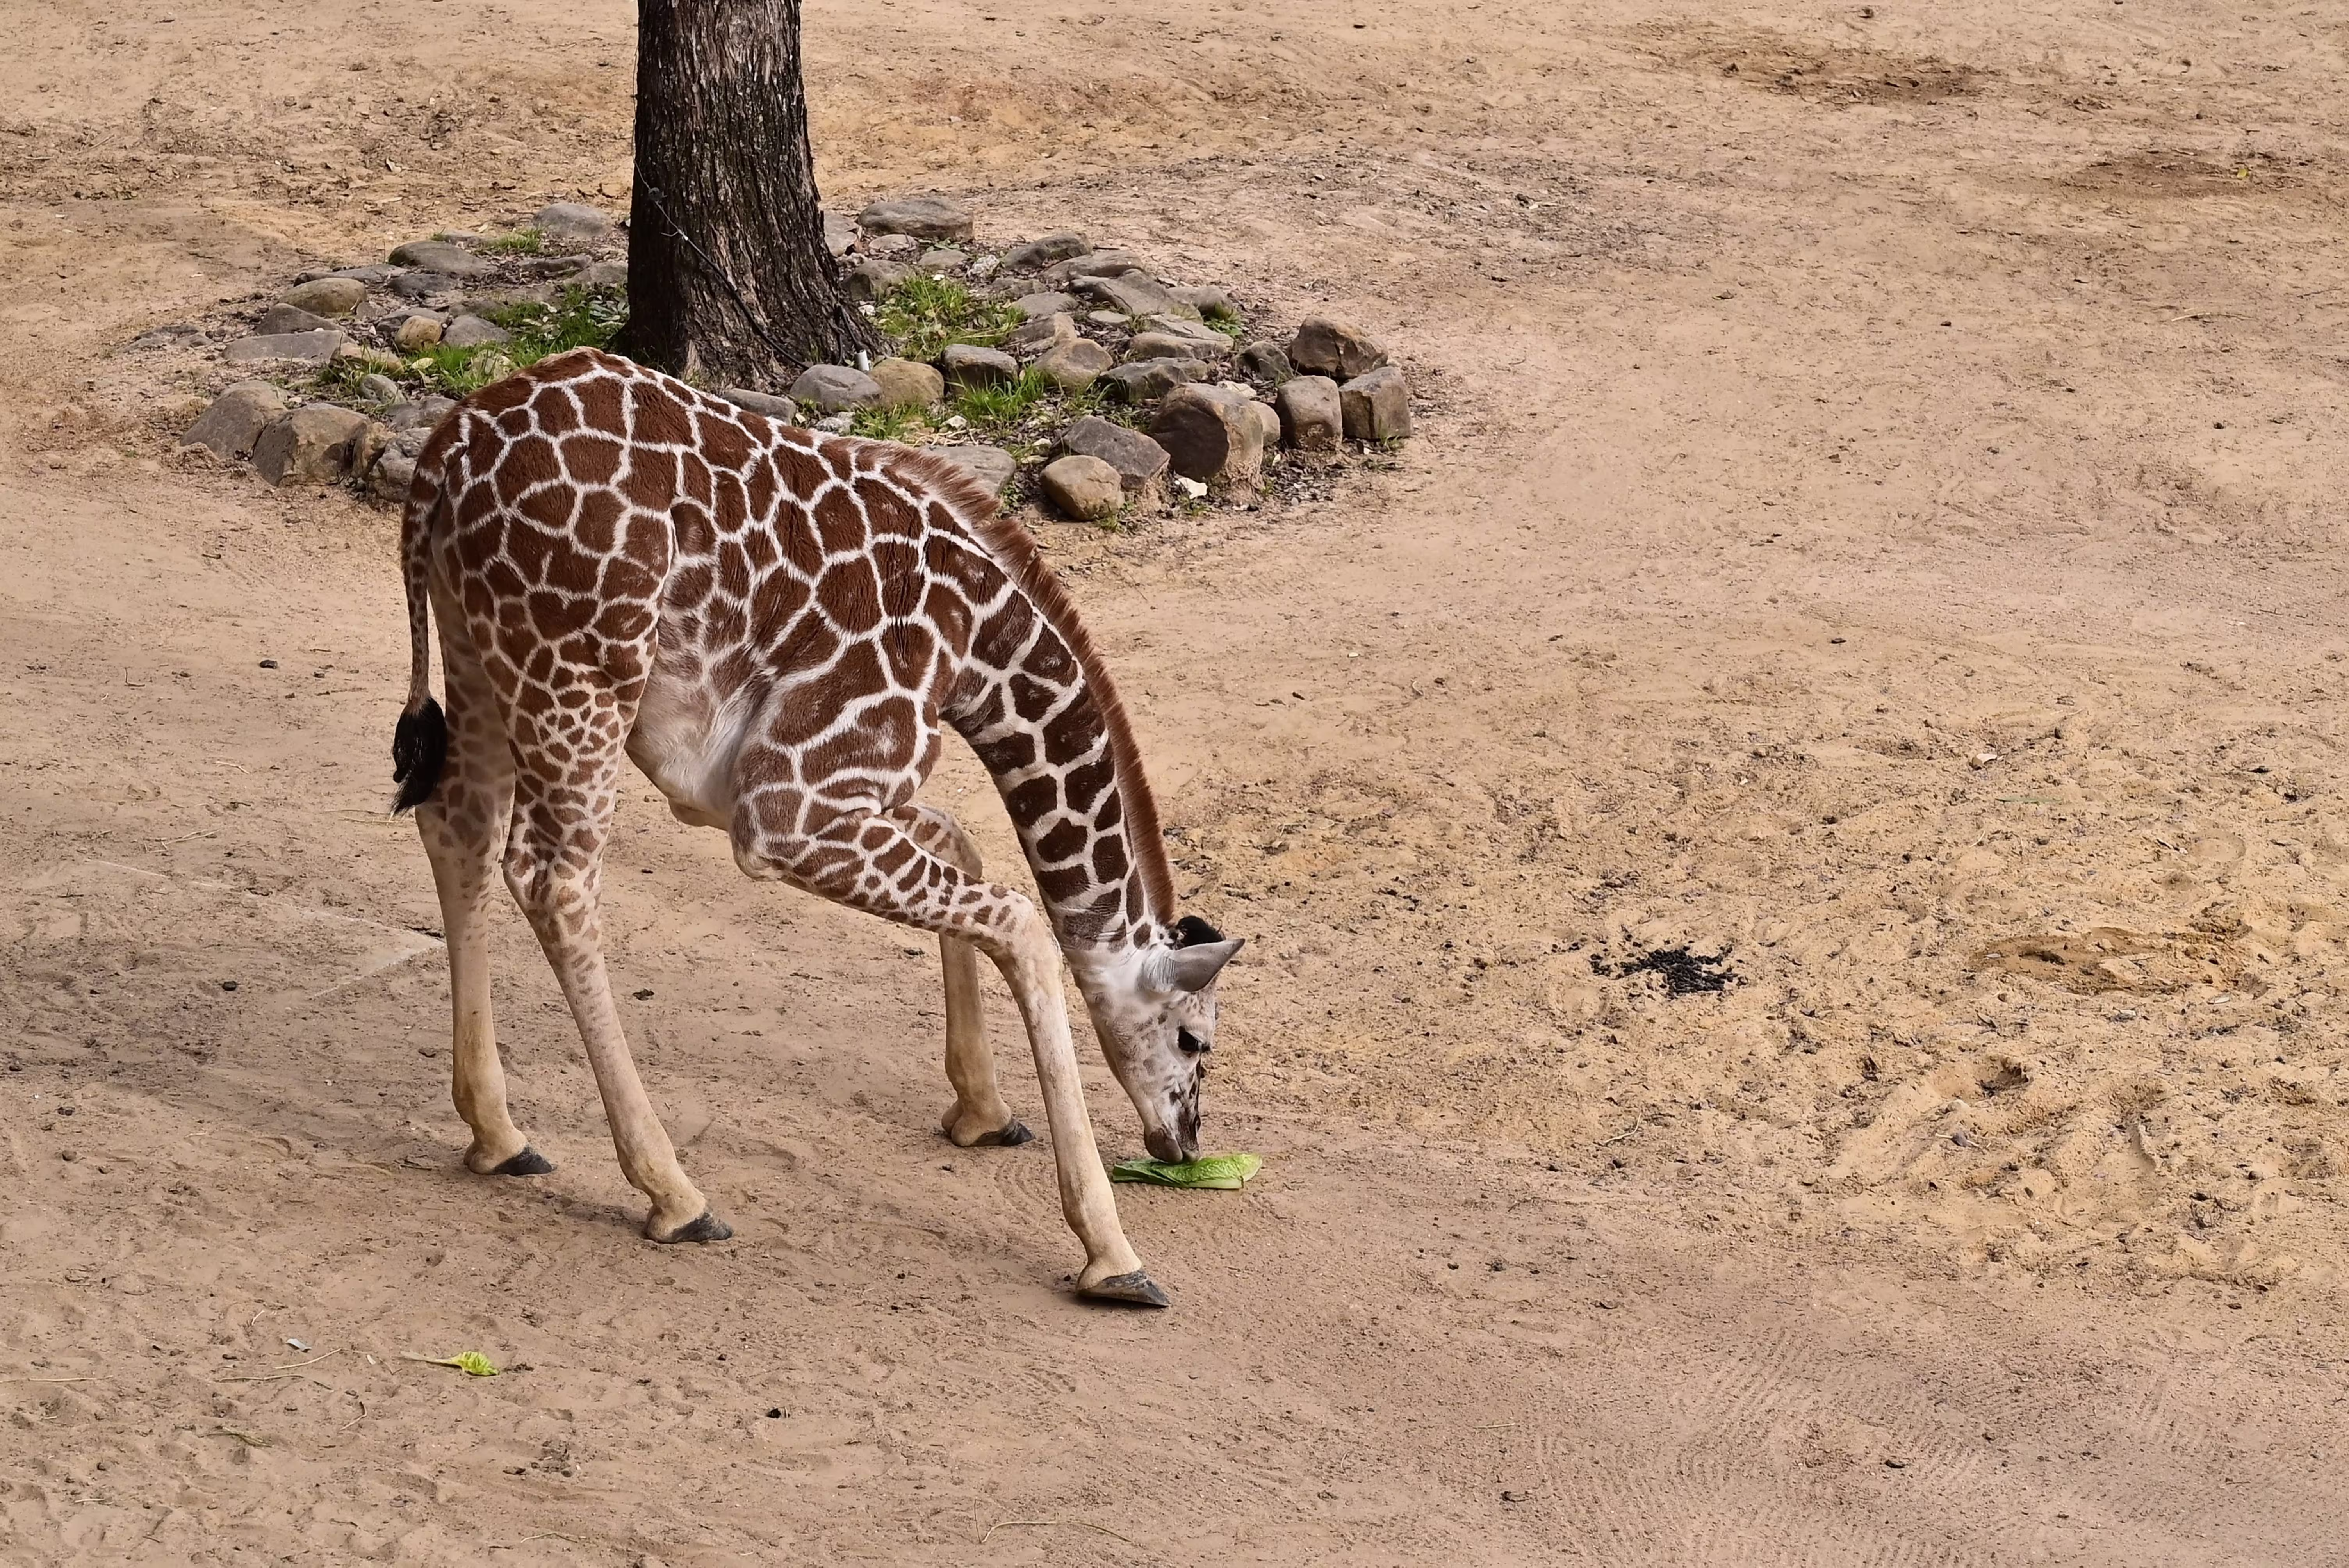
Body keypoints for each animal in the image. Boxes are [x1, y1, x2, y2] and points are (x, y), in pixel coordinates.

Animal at [388, 346, 1241, 1307]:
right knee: (551, 877)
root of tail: (447, 451)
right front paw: (1111, 1249)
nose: (1185, 1142)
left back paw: (498, 1135)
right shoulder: (785, 807)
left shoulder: (791, 793)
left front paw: (983, 1112)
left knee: (456, 823)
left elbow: (963, 839)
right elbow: (1022, 920)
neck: (980, 653)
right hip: (580, 673)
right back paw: (674, 1193)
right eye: (1194, 1039)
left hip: (480, 651)